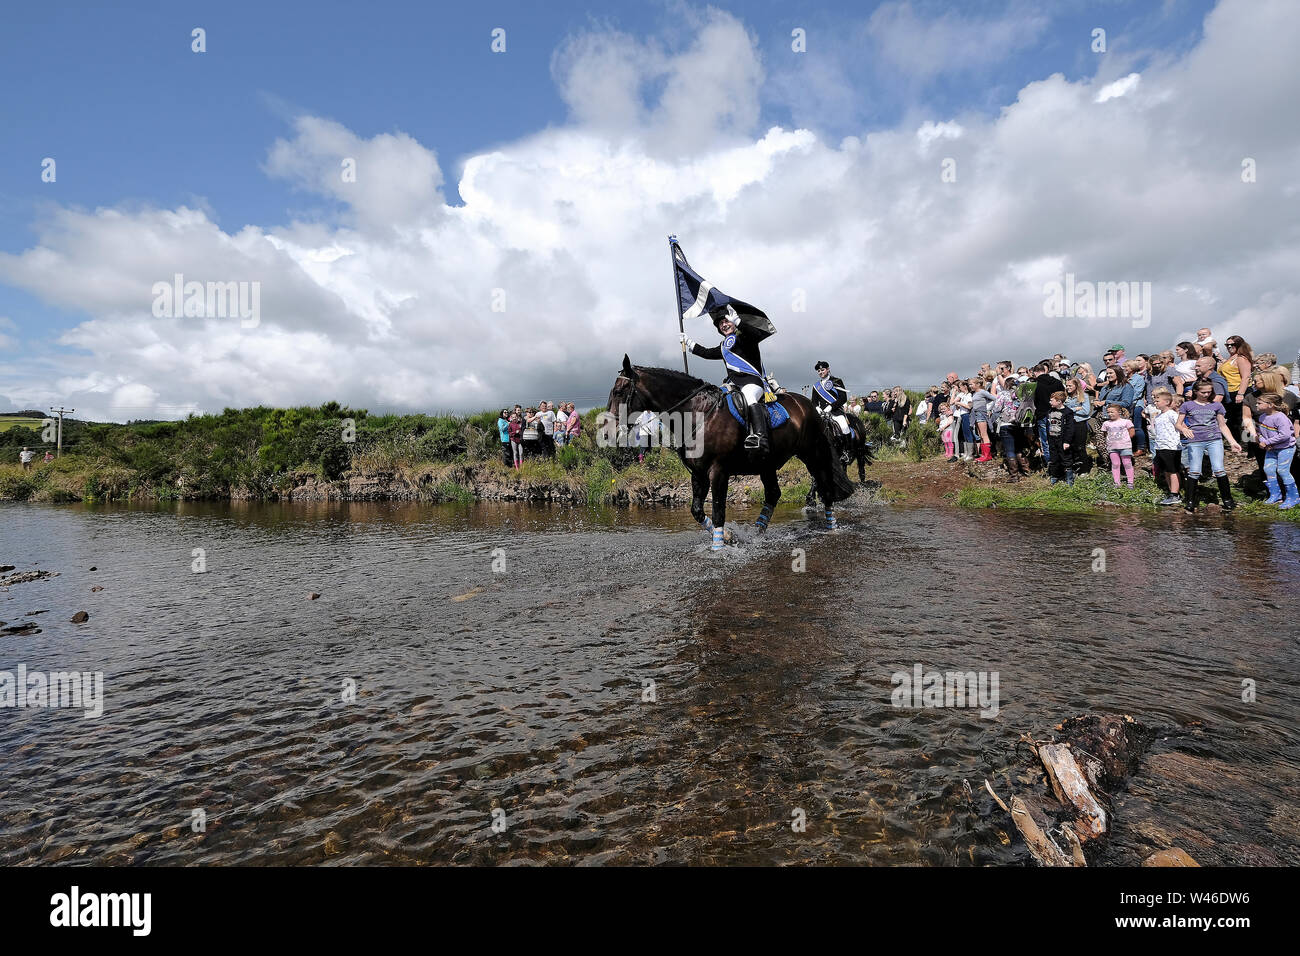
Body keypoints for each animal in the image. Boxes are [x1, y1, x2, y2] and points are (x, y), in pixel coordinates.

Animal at [605, 356, 857, 548]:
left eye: (618, 391)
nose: (607, 432)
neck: (698, 413)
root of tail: (810, 407)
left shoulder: (718, 471)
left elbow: (718, 510)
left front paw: (718, 548)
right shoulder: (697, 474)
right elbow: (697, 510)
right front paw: (727, 536)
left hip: (813, 454)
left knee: (825, 488)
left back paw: (832, 528)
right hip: (767, 464)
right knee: (773, 494)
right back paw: (756, 533)